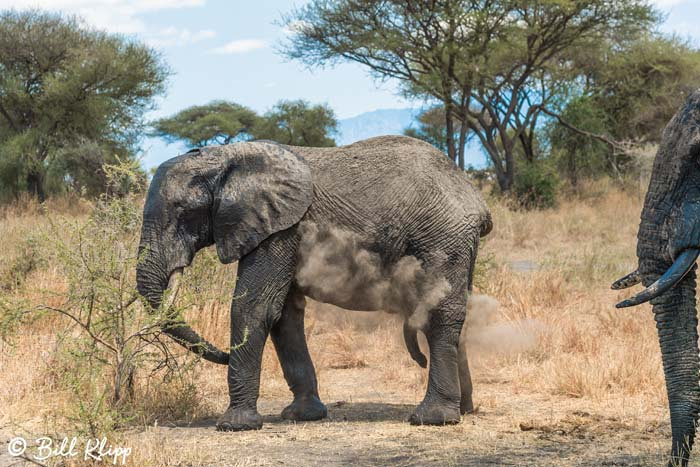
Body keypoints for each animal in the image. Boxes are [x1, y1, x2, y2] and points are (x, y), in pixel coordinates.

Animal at [135, 134, 492, 432]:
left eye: (183, 212)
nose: (223, 354)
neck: (227, 158)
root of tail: (476, 199)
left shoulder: (279, 229)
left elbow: (254, 307)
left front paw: (235, 425)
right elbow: (283, 315)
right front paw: (302, 415)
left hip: (443, 236)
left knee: (439, 313)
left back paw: (433, 418)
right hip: (457, 242)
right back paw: (465, 409)